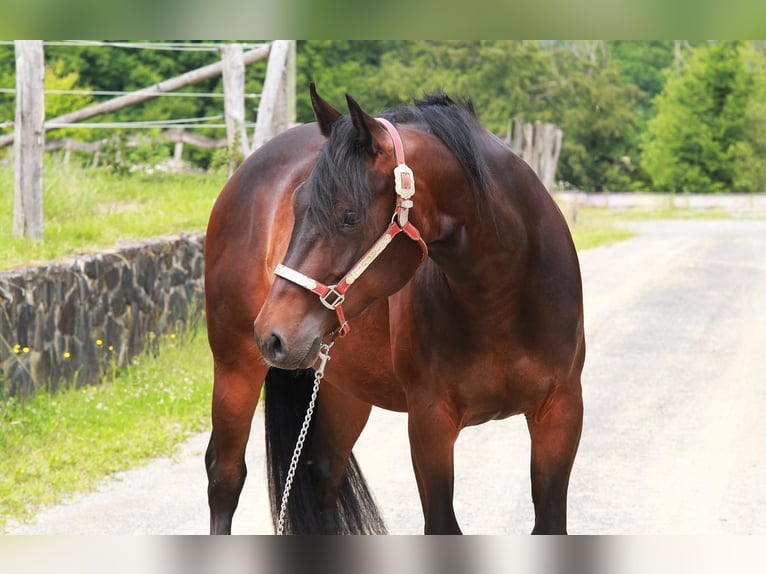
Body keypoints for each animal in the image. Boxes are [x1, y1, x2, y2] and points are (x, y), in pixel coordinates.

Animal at [204, 83, 585, 534]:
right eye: (296, 205)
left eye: (349, 216)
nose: (272, 334)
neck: (499, 296)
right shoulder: (429, 423)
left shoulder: (560, 414)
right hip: (236, 368)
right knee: (225, 476)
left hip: (342, 387)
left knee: (324, 476)